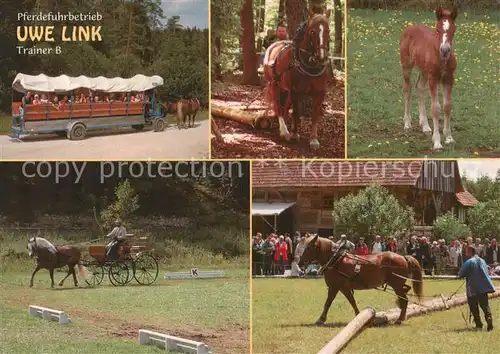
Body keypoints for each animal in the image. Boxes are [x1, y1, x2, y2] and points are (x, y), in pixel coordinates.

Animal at [264, 8, 330, 149]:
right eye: (312, 31)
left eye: (328, 30)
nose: (321, 57)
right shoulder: (295, 92)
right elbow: (296, 113)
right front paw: (294, 134)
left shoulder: (320, 92)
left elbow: (314, 116)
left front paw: (314, 139)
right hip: (274, 84)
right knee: (278, 106)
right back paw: (284, 131)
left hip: (285, 89)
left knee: (285, 106)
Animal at [400, 8, 458, 149]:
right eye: (437, 29)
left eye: (454, 30)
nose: (445, 50)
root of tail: (410, 27)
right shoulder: (433, 79)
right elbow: (435, 108)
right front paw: (437, 142)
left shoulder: (449, 79)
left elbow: (447, 106)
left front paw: (449, 137)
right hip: (407, 66)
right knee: (407, 89)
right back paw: (407, 123)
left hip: (424, 71)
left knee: (420, 88)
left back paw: (425, 126)